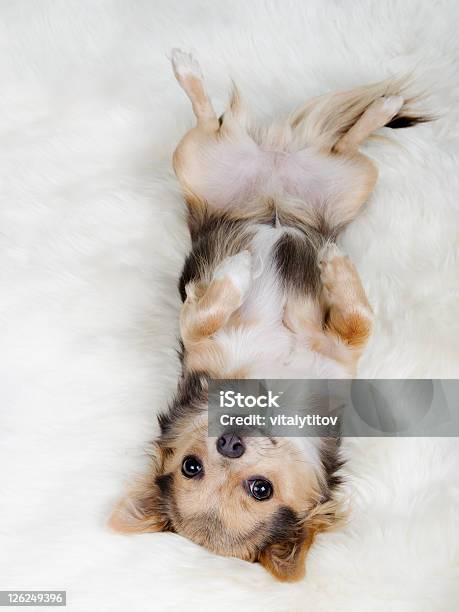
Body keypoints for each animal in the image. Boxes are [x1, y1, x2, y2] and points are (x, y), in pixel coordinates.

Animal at [108, 50, 432, 580]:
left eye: (260, 488)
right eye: (191, 467)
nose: (230, 442)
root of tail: (275, 165)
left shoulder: (336, 355)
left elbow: (356, 318)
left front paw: (324, 266)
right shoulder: (207, 341)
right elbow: (207, 312)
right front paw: (248, 270)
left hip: (352, 181)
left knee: (344, 140)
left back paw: (383, 106)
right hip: (197, 160)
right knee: (209, 118)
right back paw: (188, 69)